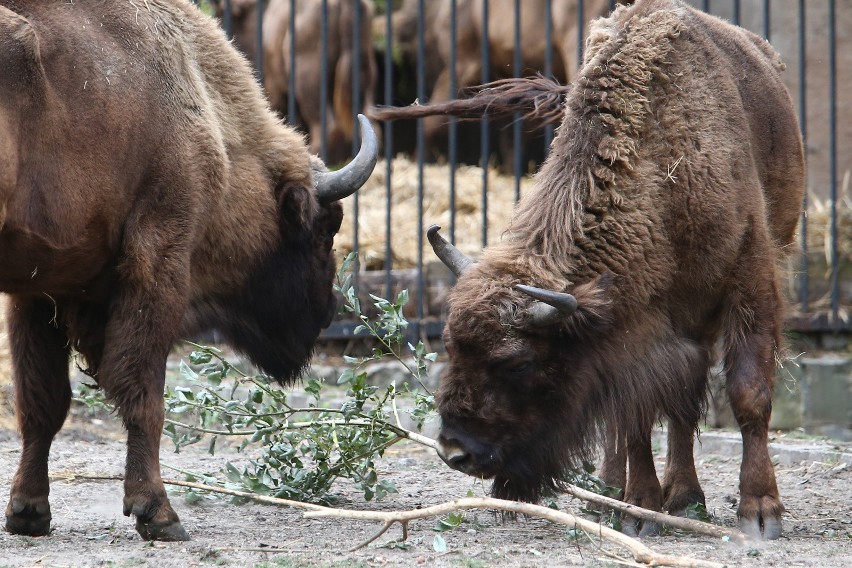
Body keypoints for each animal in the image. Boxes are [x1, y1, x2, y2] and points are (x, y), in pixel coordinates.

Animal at [0, 0, 378, 540]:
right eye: (325, 227)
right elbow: (142, 394)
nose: (329, 312)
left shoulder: (38, 289)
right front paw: (159, 514)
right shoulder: (158, 259)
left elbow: (42, 403)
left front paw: (29, 512)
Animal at [380, 0, 804, 540]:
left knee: (687, 402)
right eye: (451, 346)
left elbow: (747, 394)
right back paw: (625, 495)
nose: (455, 452)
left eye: (516, 363)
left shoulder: (747, 283)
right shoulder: (634, 331)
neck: (662, 172)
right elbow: (635, 416)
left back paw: (684, 499)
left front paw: (760, 512)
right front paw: (639, 509)